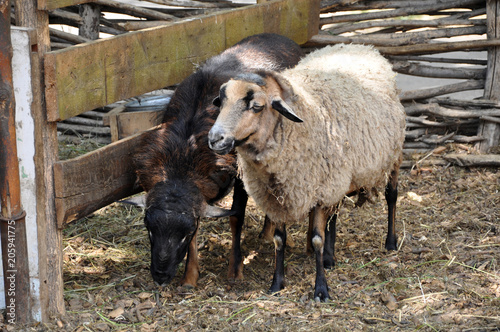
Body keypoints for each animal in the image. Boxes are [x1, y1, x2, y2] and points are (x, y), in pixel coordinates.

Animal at [207, 44, 406, 300]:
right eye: (221, 103)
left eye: (256, 106)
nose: (214, 139)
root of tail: (360, 46)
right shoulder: (278, 198)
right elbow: (279, 240)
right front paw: (277, 283)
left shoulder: (318, 191)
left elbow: (317, 239)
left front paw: (321, 289)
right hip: (338, 177)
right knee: (335, 213)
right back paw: (330, 258)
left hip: (394, 155)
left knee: (391, 196)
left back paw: (390, 242)